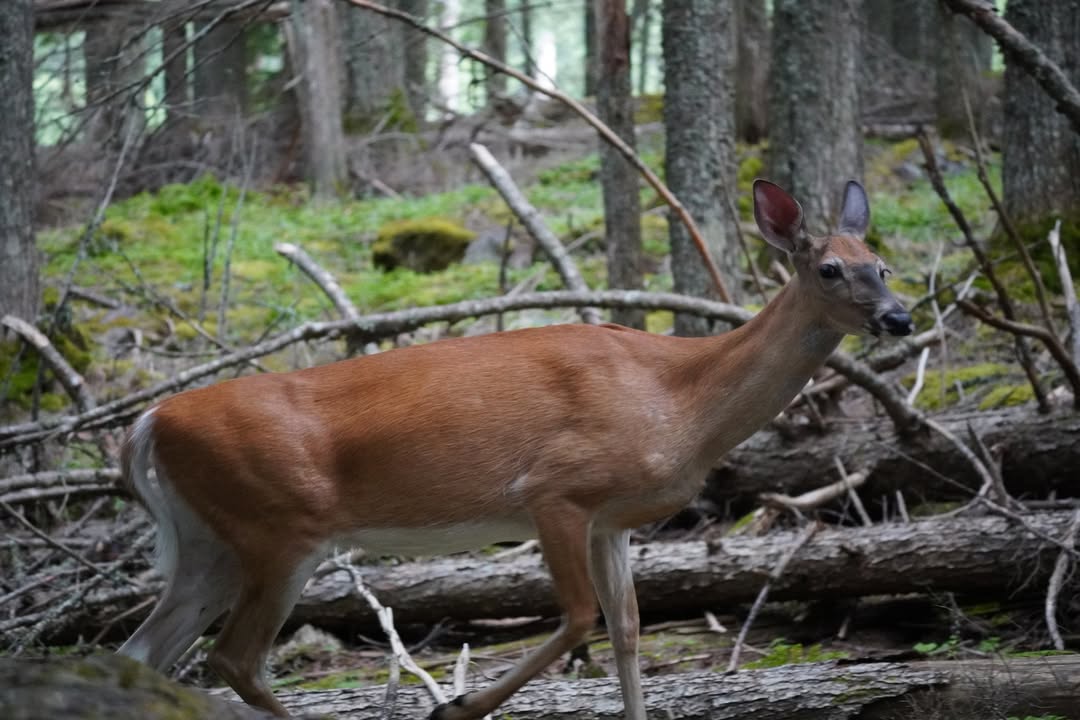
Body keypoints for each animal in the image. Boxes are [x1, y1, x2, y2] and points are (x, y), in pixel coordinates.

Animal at [117, 179, 911, 719]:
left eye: (882, 263)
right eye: (830, 269)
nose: (900, 318)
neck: (678, 399)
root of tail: (150, 419)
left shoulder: (613, 519)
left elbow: (627, 629)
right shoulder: (555, 489)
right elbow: (580, 617)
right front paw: (457, 706)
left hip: (212, 545)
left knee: (140, 652)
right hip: (280, 528)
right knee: (234, 659)